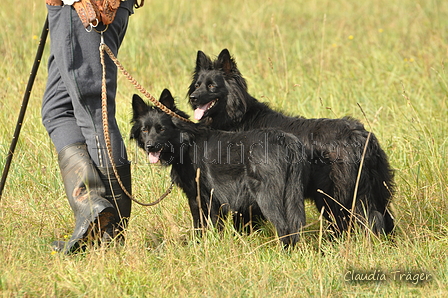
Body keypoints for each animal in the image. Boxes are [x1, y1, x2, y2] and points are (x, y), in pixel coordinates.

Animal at [131, 89, 310, 246]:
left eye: (161, 129)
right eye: (144, 130)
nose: (150, 147)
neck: (186, 142)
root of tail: (286, 140)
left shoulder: (200, 197)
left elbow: (200, 224)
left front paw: (199, 244)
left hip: (267, 196)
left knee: (284, 227)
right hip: (290, 193)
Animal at [189, 49, 396, 235]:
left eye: (212, 86)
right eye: (197, 85)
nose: (193, 98)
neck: (237, 118)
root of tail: (361, 136)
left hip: (337, 196)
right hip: (372, 191)